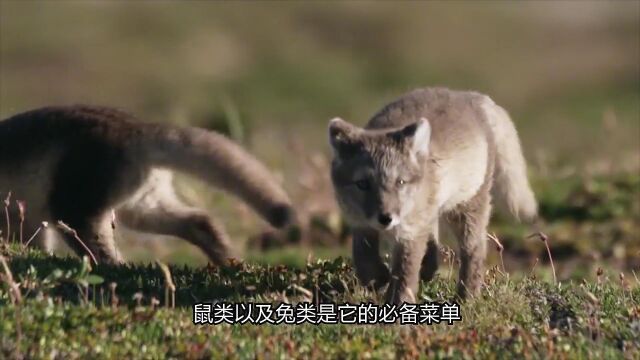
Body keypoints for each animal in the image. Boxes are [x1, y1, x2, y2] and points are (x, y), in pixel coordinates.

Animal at [0, 104, 296, 264]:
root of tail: (135, 130)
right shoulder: (26, 224)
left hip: (75, 209)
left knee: (109, 257)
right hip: (143, 205)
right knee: (200, 221)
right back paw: (230, 262)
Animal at [328, 88, 536, 304]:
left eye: (400, 182)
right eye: (362, 184)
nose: (385, 218)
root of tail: (472, 96)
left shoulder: (410, 233)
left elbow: (405, 273)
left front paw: (399, 302)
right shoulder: (361, 224)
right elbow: (363, 257)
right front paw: (377, 278)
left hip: (466, 208)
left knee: (474, 249)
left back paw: (466, 298)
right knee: (433, 238)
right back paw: (429, 270)